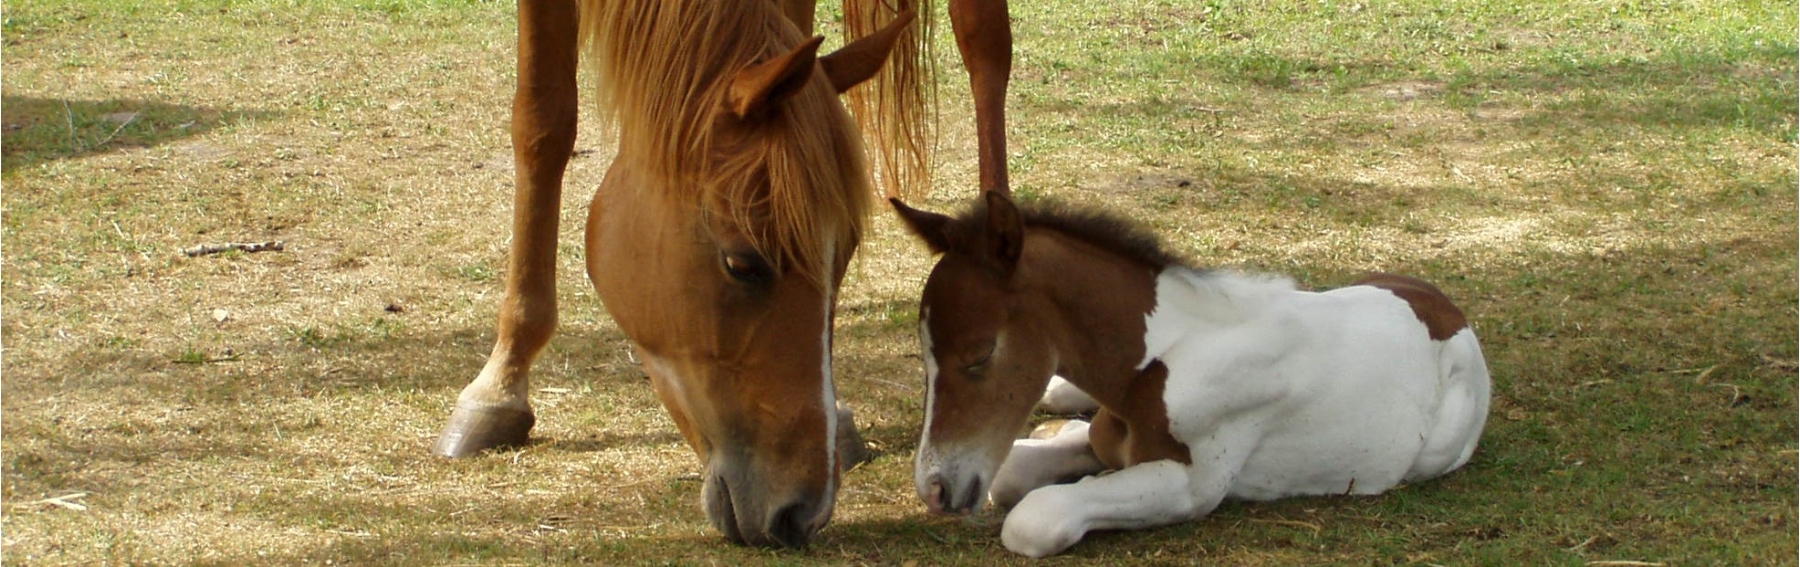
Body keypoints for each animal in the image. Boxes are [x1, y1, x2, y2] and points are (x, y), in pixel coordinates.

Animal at [889, 192, 1490, 561]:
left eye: (979, 355)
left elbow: (1035, 516)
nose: (936, 489)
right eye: (925, 354)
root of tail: (1446, 309)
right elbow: (1016, 469)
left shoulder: (1190, 486)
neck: (1163, 359)